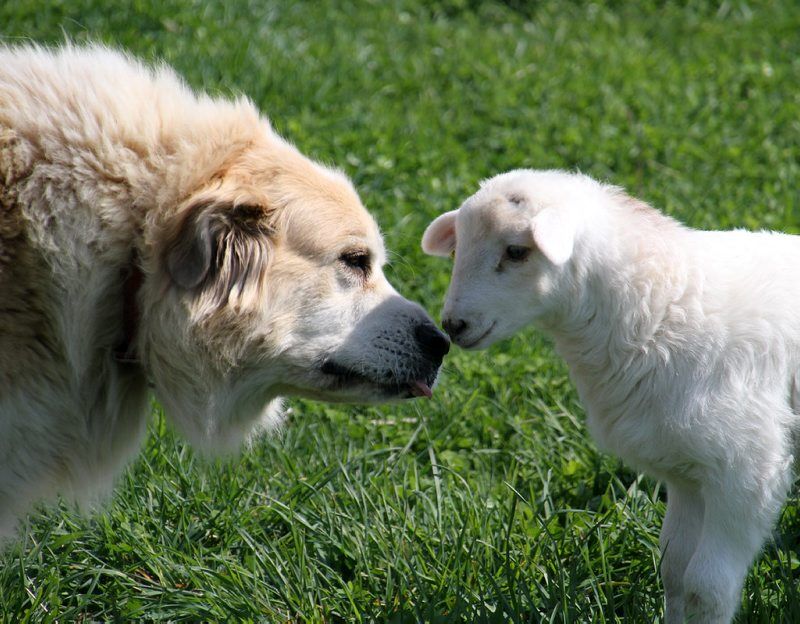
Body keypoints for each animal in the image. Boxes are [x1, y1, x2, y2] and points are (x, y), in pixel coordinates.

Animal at [422, 168, 796, 620]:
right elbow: (675, 571)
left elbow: (707, 587)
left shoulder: (745, 469)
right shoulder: (688, 472)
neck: (665, 305)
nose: (453, 326)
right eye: (458, 247)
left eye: (516, 251)